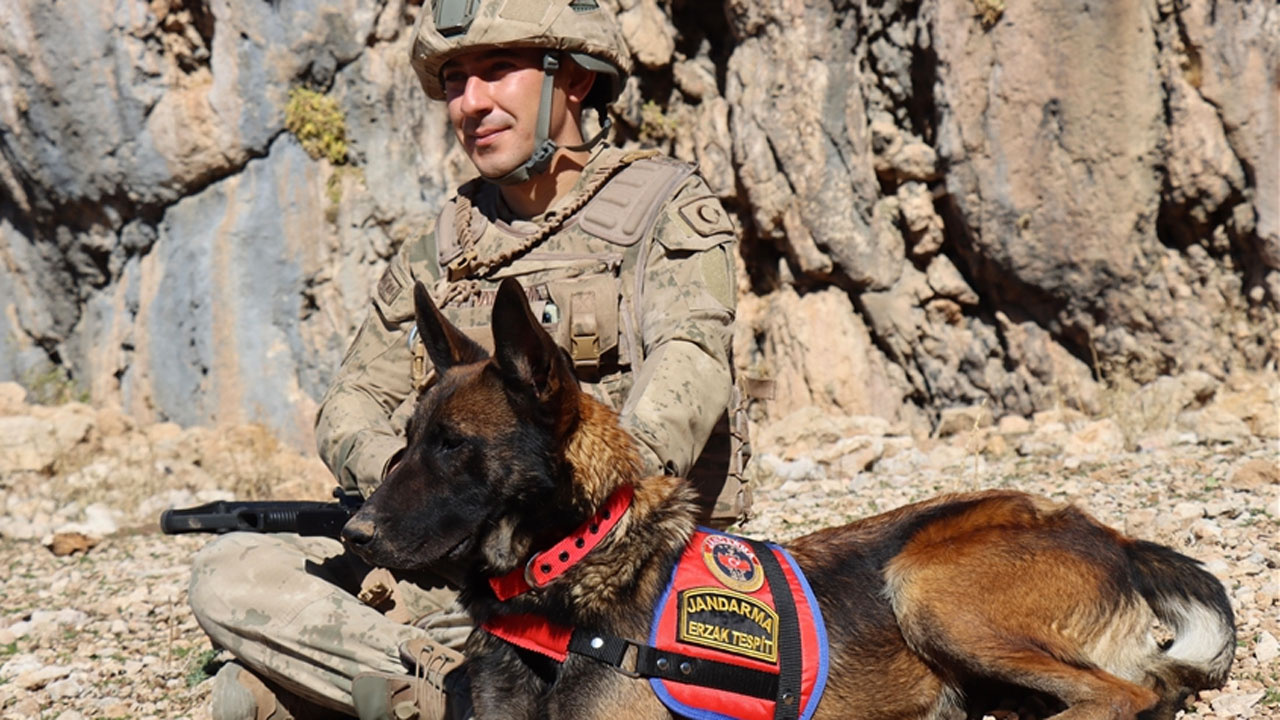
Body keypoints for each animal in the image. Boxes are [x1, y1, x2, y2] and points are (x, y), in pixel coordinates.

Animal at [337, 279, 1228, 717]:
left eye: (454, 445)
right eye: (404, 441)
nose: (355, 533)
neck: (572, 567)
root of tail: (1112, 535)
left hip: (927, 585)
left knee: (1127, 694)